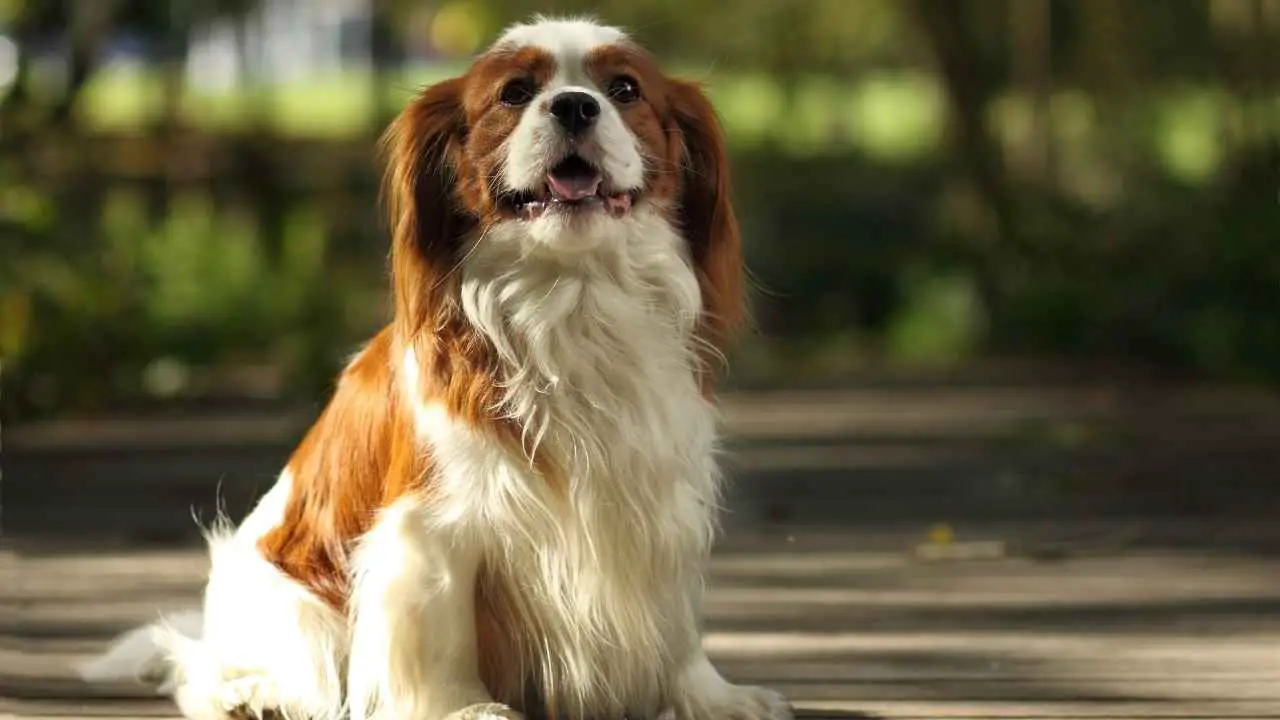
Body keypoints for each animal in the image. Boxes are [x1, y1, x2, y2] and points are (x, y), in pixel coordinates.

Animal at [77, 14, 788, 717]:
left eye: (625, 90)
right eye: (514, 94)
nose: (574, 105)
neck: (573, 296)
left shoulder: (660, 502)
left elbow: (677, 621)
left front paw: (709, 696)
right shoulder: (430, 527)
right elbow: (440, 625)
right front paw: (463, 708)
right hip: (294, 608)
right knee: (202, 669)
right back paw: (250, 693)